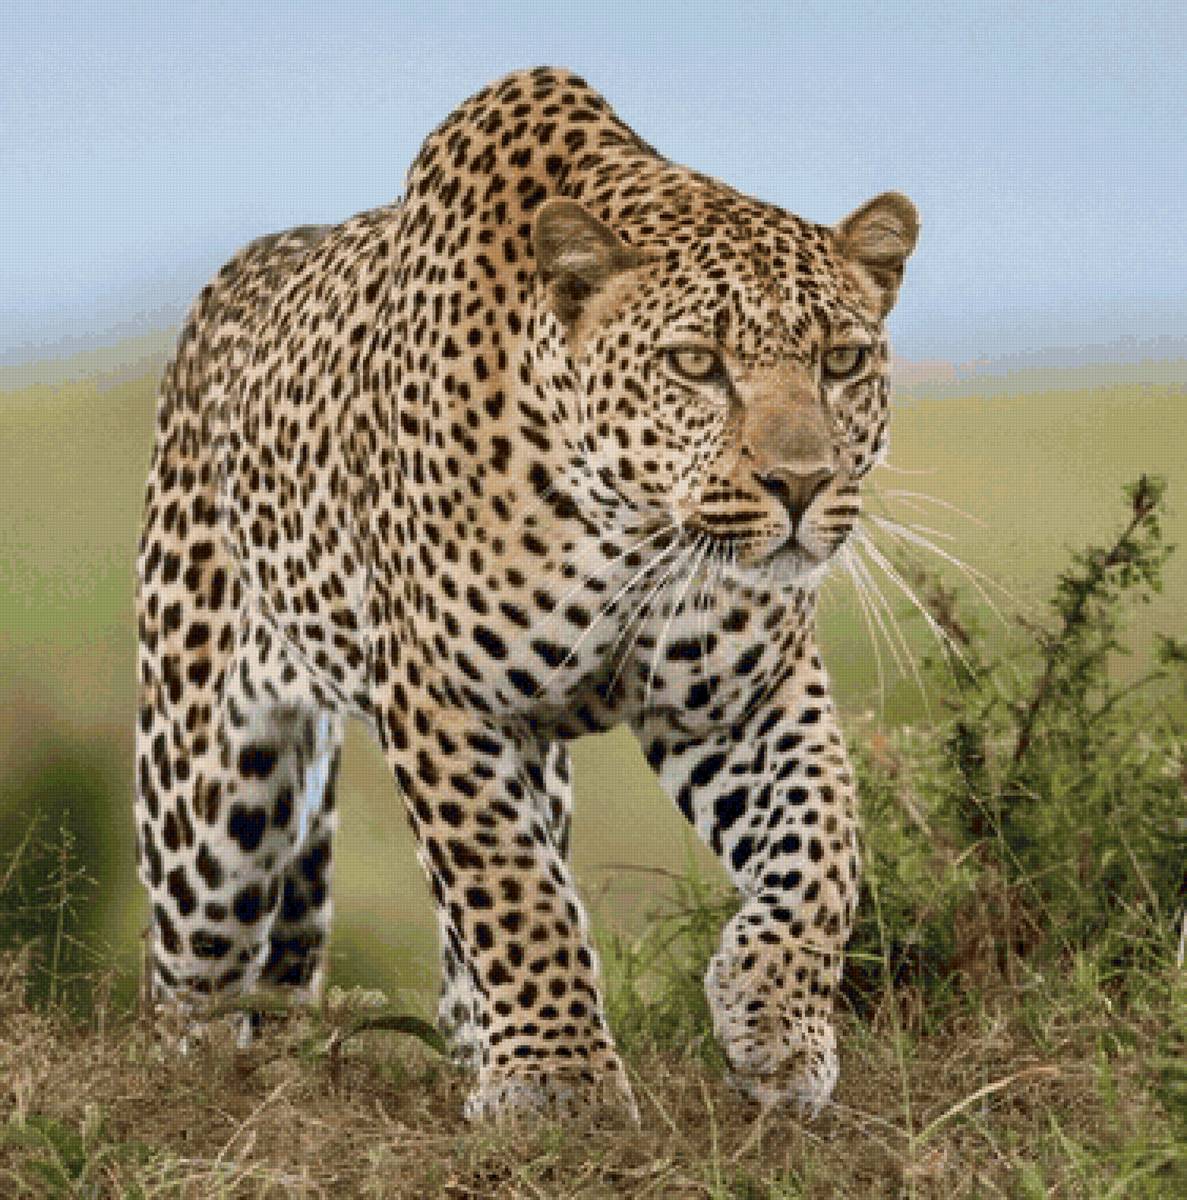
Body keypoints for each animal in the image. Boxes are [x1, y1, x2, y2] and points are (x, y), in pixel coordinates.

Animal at [134, 65, 918, 1122]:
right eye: (695, 364)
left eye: (841, 361)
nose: (799, 485)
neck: (628, 528)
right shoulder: (440, 697)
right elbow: (512, 891)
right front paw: (558, 1084)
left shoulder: (745, 697)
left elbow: (822, 848)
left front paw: (774, 1022)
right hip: (210, 802)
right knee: (190, 978)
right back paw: (201, 1081)